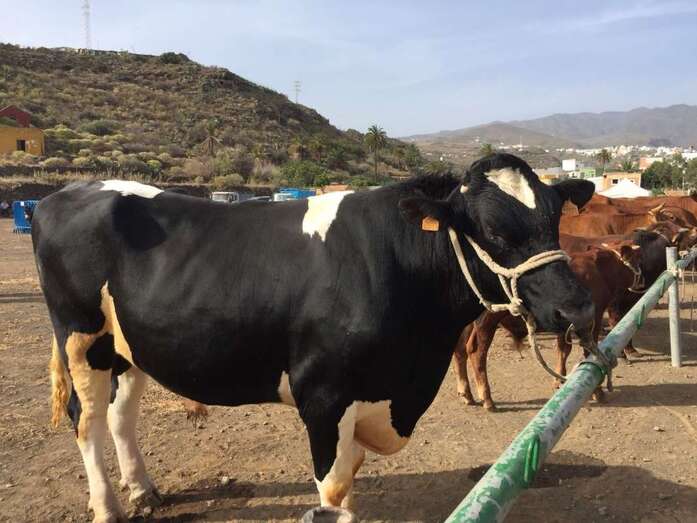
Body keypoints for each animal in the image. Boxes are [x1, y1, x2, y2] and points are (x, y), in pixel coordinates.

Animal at [32, 153, 595, 522]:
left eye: (555, 220)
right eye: (494, 232)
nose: (578, 306)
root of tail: (64, 192)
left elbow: (351, 478)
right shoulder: (324, 395)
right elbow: (333, 486)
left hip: (129, 347)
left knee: (121, 415)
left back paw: (144, 491)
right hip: (81, 337)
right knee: (87, 420)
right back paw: (107, 506)